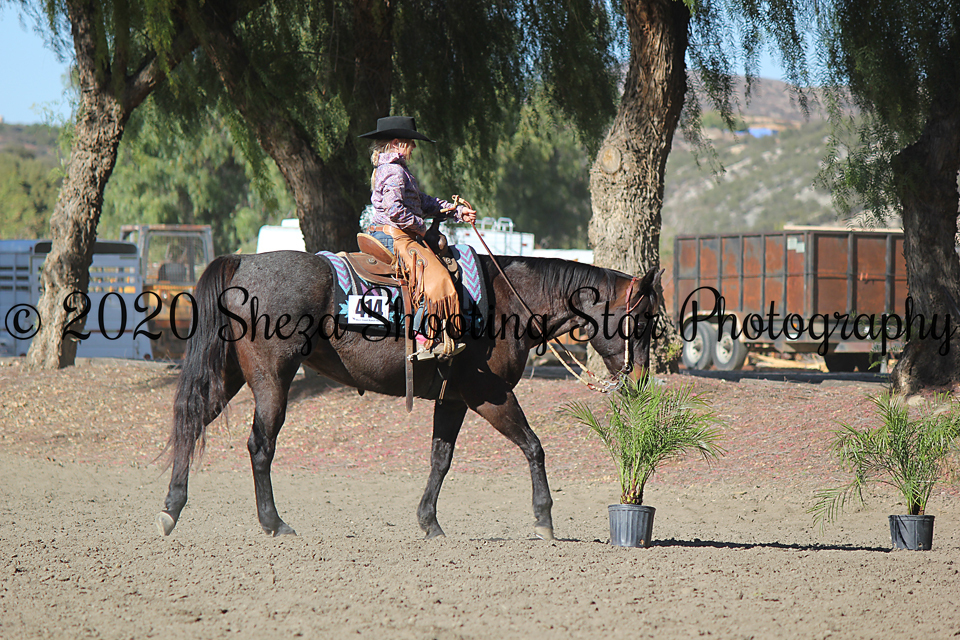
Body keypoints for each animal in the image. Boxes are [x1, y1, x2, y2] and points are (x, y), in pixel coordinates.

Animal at [156, 249, 662, 540]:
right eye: (642, 319)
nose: (640, 381)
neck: (507, 301)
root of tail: (242, 261)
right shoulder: (488, 392)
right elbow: (533, 446)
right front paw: (544, 519)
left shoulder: (453, 398)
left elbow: (441, 458)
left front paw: (429, 522)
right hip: (271, 379)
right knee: (260, 446)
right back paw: (273, 523)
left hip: (230, 375)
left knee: (192, 420)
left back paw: (172, 509)